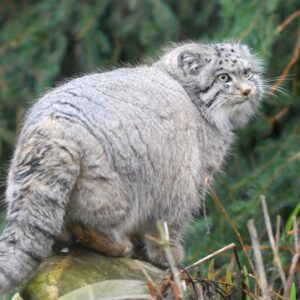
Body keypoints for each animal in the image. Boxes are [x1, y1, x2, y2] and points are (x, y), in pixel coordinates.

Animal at [0, 41, 264, 292]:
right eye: (224, 78)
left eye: (247, 73)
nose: (248, 90)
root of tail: (53, 128)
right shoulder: (187, 184)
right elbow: (167, 227)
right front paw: (167, 255)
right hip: (120, 194)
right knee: (87, 223)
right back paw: (118, 246)